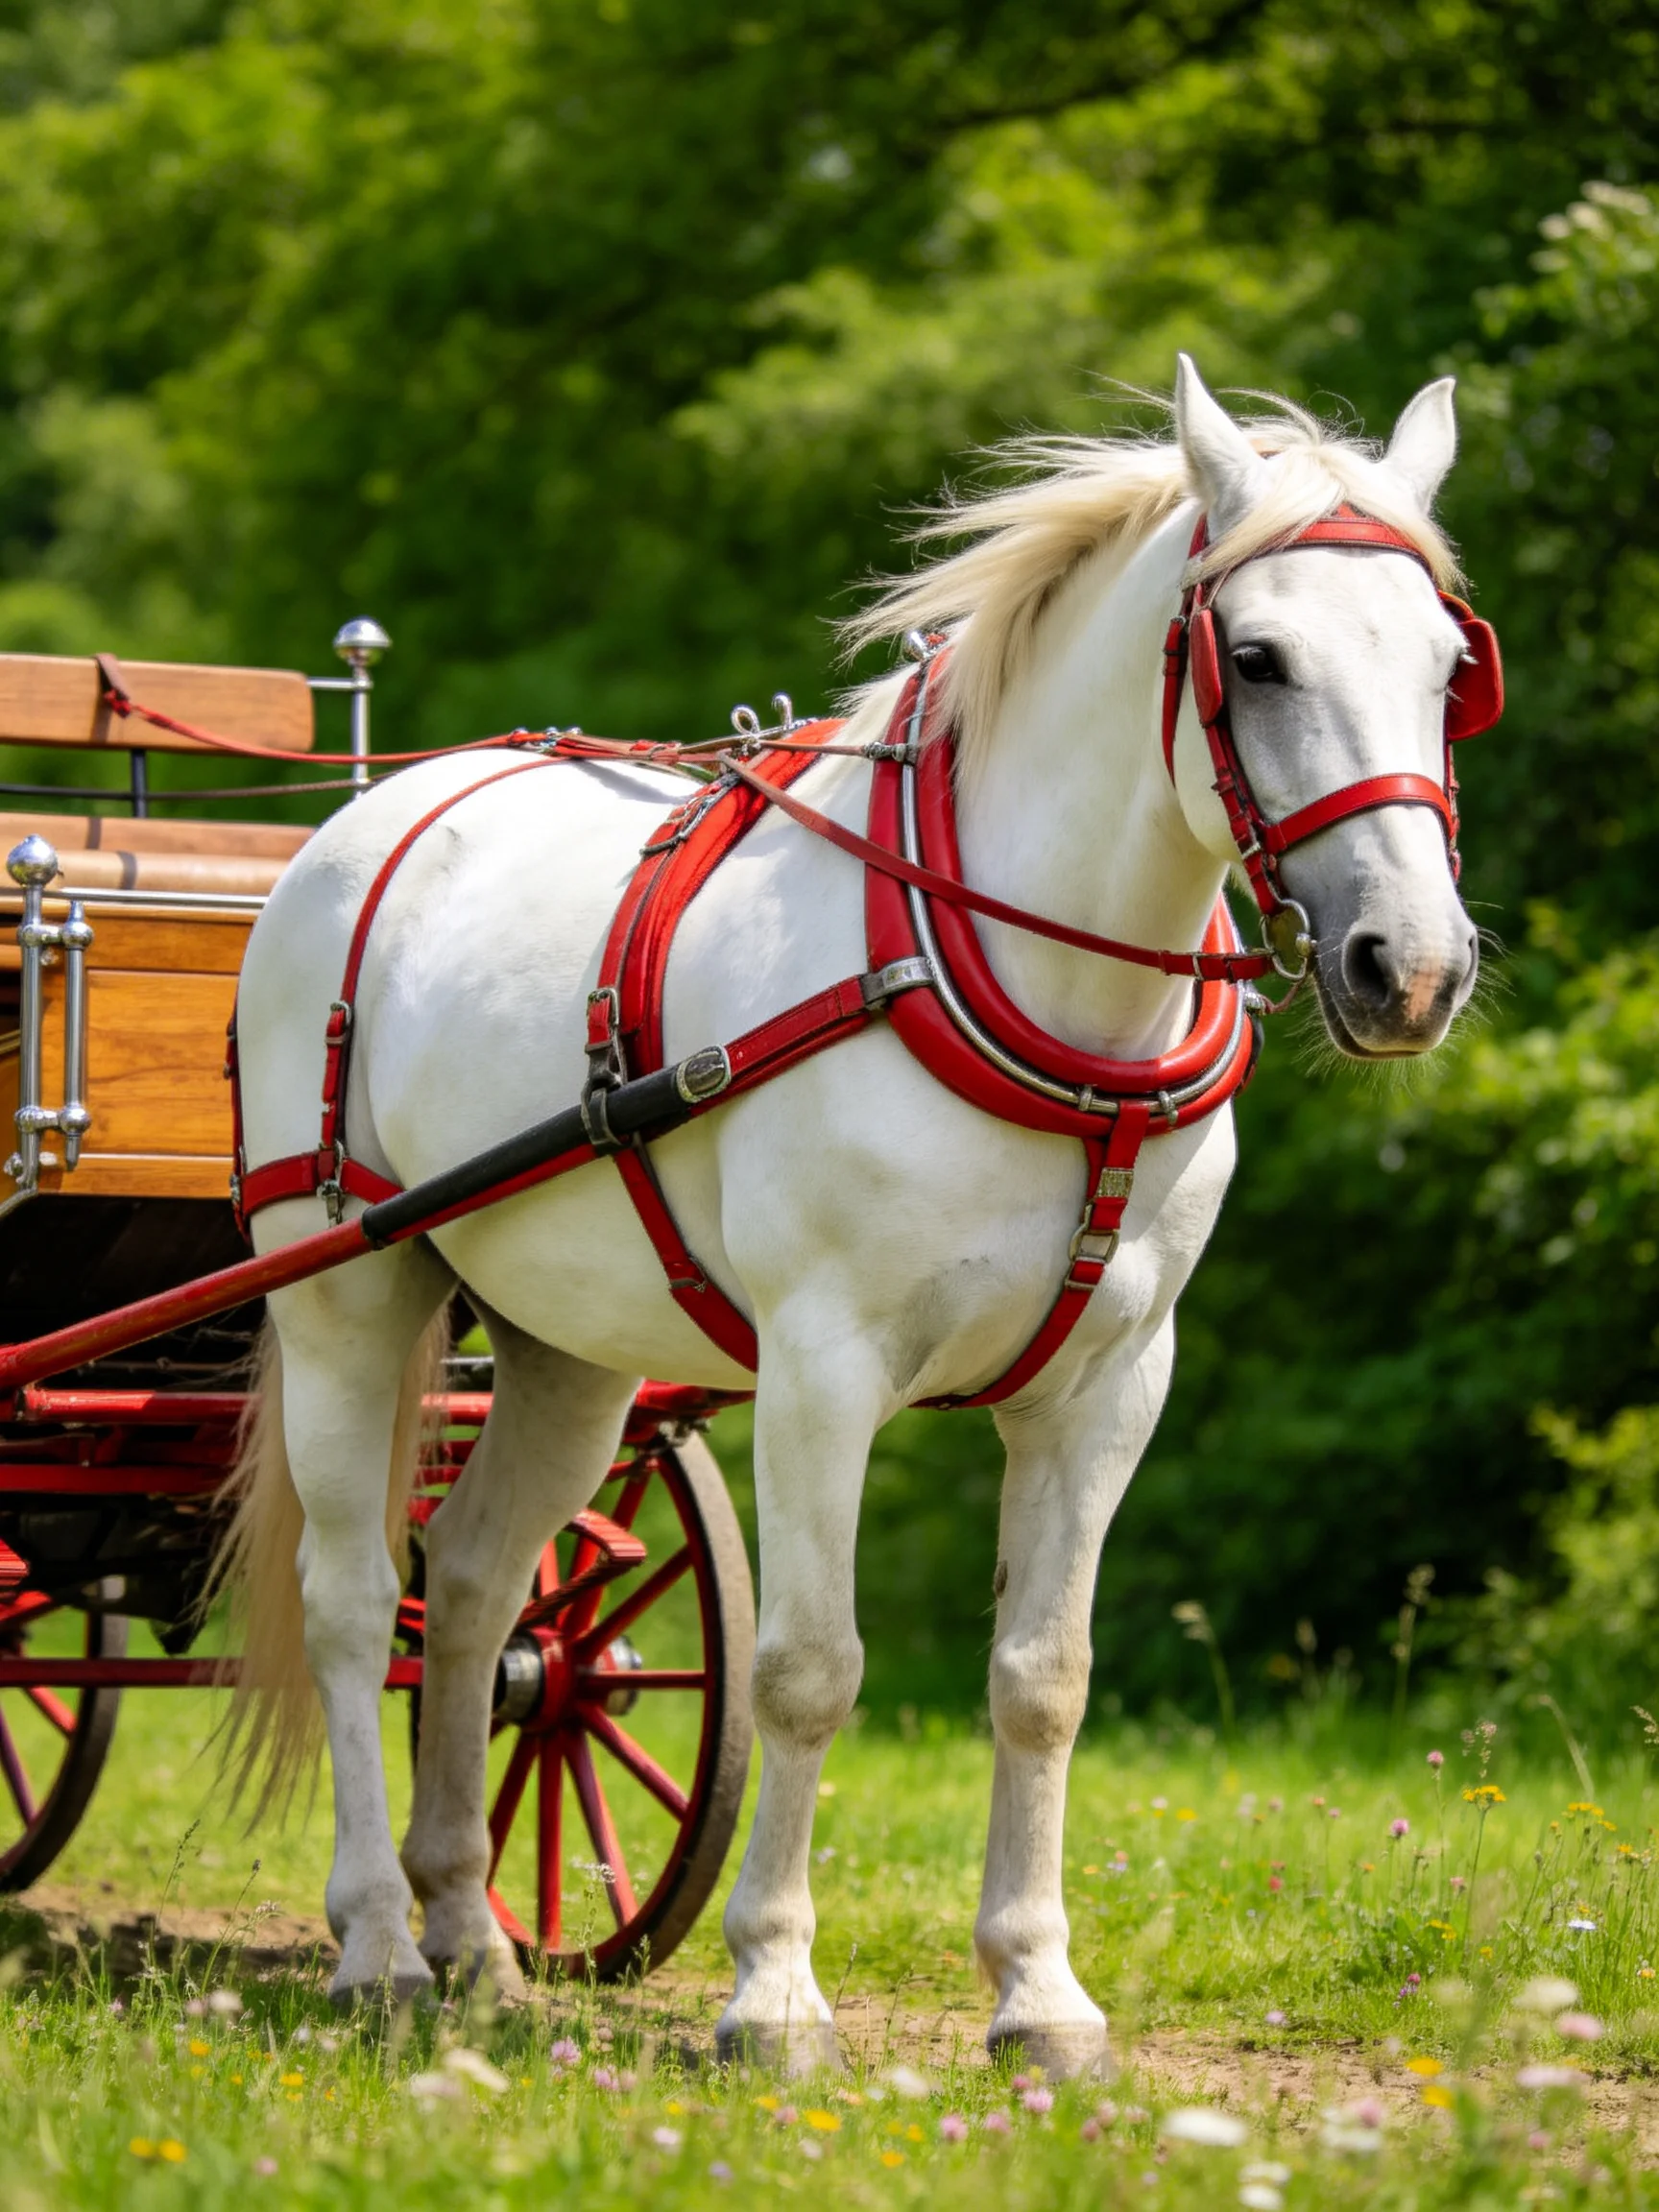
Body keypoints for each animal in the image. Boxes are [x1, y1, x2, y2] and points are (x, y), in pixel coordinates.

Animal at [218, 355, 1485, 2076]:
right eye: (1257, 655)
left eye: (1446, 663)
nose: (1407, 967)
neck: (1026, 989)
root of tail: (369, 817)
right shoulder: (823, 1366)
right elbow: (810, 1668)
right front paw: (773, 1991)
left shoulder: (1109, 1384)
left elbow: (1044, 1677)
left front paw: (1039, 1994)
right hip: (346, 1286)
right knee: (357, 1604)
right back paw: (377, 1948)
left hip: (565, 1344)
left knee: (475, 1590)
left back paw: (472, 1933)